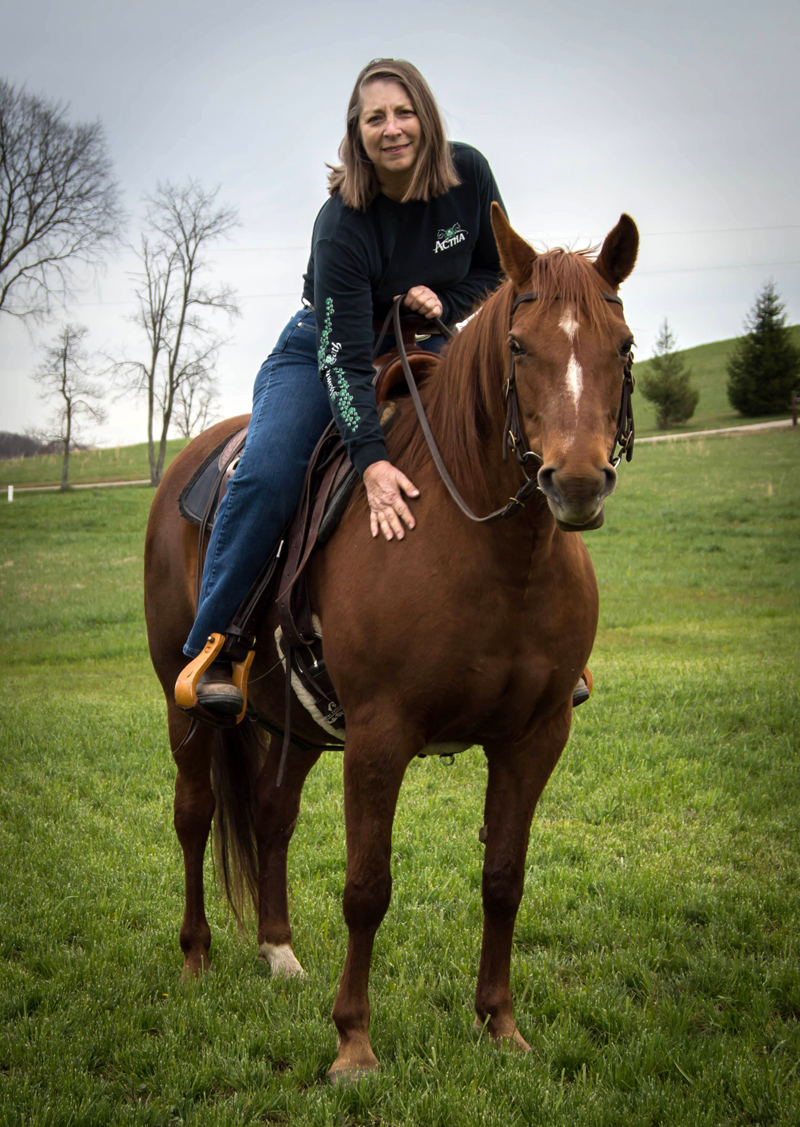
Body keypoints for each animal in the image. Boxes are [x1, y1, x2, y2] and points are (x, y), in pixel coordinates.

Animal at [145, 205, 640, 1081]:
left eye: (622, 345)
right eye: (520, 346)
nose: (575, 482)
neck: (492, 550)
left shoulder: (537, 735)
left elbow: (504, 877)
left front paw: (500, 1023)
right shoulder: (382, 733)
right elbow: (366, 886)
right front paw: (353, 1043)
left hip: (299, 722)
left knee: (271, 815)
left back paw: (277, 949)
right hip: (189, 703)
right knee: (195, 813)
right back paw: (197, 956)